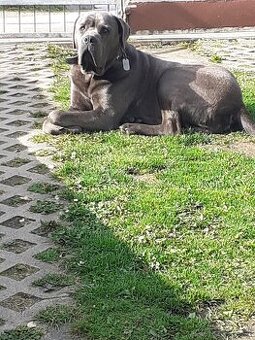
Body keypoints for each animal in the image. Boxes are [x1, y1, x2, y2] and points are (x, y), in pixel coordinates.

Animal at [42, 11, 255, 137]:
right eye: (82, 28)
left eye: (105, 30)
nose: (89, 39)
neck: (91, 75)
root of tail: (239, 103)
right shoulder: (77, 105)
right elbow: (52, 117)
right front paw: (61, 127)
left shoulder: (105, 114)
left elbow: (55, 113)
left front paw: (65, 124)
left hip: (169, 78)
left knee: (171, 127)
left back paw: (131, 126)